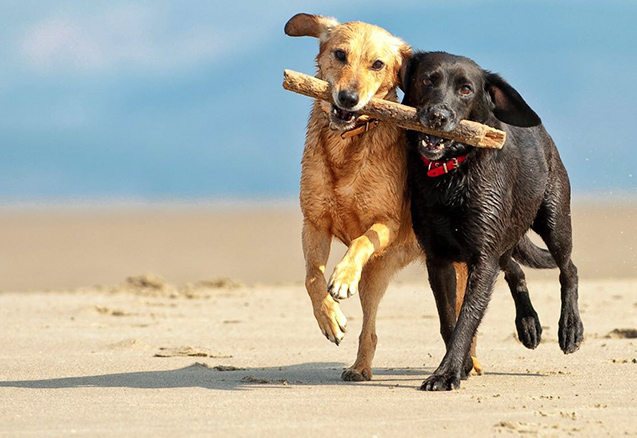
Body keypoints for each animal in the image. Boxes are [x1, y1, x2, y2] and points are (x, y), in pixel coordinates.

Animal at [404, 51, 584, 390]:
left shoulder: (482, 257)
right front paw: (458, 367)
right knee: (515, 269)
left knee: (569, 268)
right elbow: (449, 319)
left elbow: (467, 318)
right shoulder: (438, 259)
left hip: (554, 220)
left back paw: (570, 328)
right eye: (427, 80)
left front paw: (446, 374)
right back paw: (528, 324)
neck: (451, 175)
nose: (438, 116)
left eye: (466, 89)